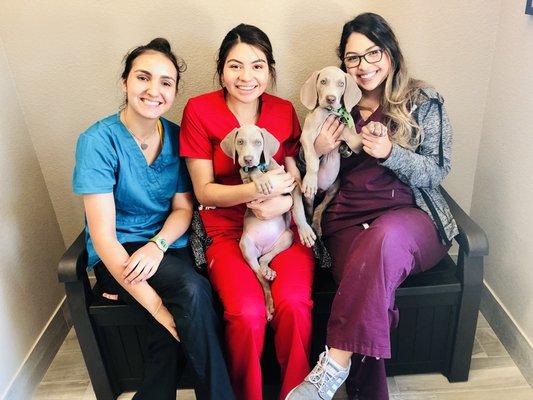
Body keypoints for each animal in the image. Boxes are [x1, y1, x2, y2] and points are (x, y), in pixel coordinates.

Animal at [220, 123, 316, 320]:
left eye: (258, 143)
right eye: (240, 142)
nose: (248, 159)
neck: (265, 168)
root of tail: (262, 248)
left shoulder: (291, 185)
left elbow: (298, 210)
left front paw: (305, 231)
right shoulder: (246, 181)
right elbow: (251, 172)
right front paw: (261, 179)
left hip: (287, 237)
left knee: (265, 259)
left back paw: (268, 270)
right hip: (246, 246)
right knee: (260, 276)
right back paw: (269, 301)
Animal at [300, 65, 362, 234]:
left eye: (341, 84)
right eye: (323, 81)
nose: (331, 99)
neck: (330, 113)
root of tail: (321, 191)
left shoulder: (351, 136)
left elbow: (357, 141)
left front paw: (377, 129)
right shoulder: (306, 136)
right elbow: (313, 160)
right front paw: (311, 179)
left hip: (335, 187)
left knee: (320, 208)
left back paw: (317, 225)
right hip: (308, 197)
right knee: (310, 209)